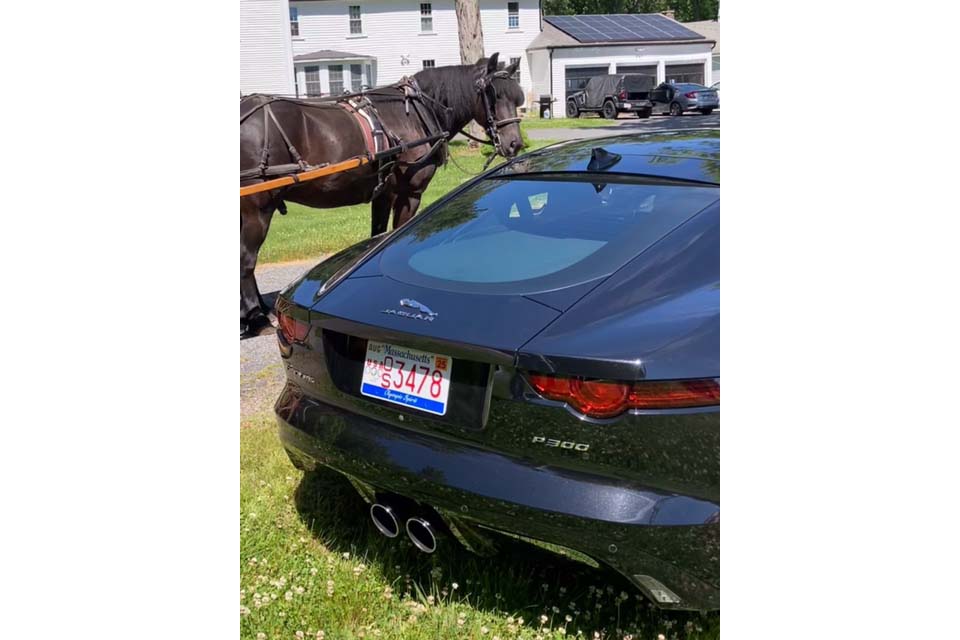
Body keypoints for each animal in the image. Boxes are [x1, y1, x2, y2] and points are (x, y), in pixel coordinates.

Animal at [240, 52, 524, 338]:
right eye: (493, 95)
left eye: (517, 99)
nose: (515, 144)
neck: (415, 113)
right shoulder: (409, 193)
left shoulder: (383, 195)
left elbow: (376, 235)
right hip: (257, 208)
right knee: (246, 259)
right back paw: (256, 317)